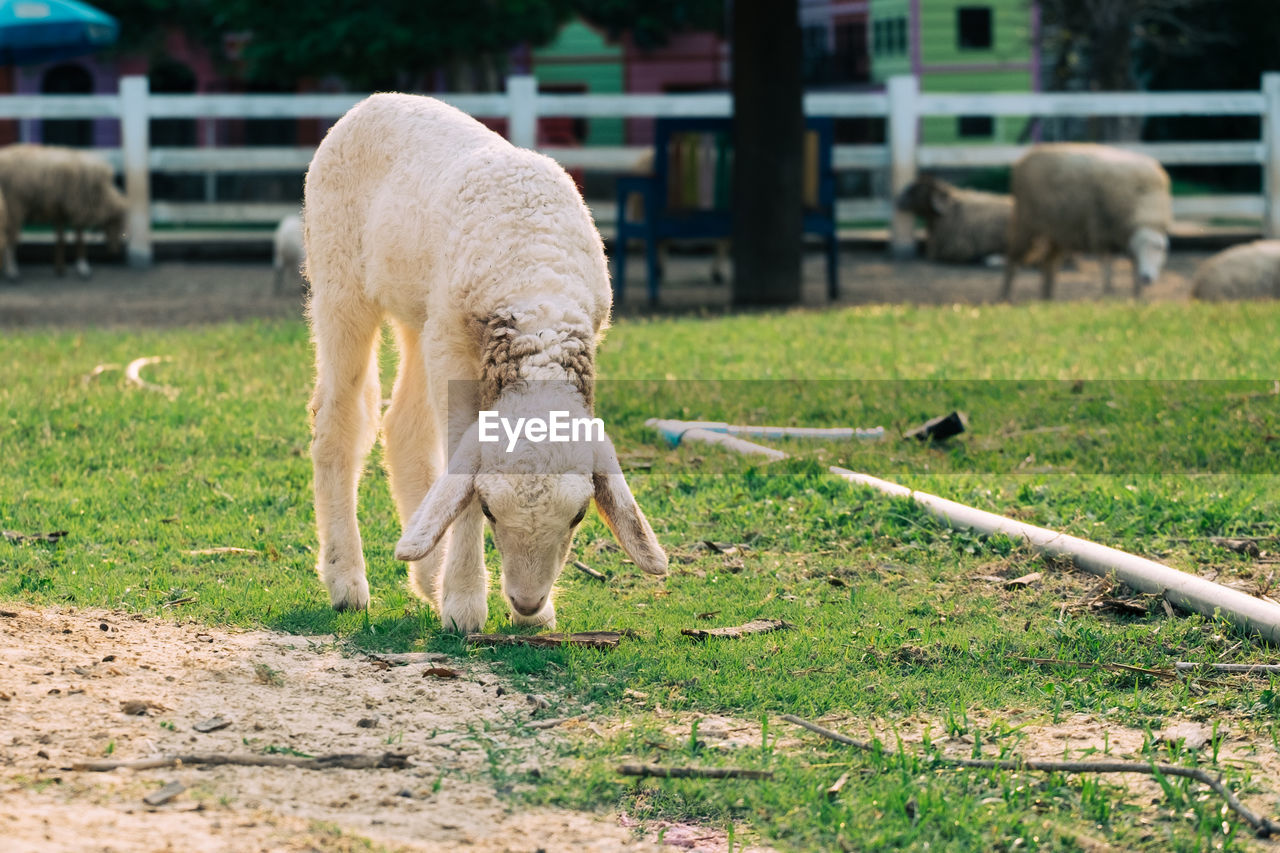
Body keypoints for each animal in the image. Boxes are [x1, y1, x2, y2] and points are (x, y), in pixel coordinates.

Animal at [0, 143, 126, 279]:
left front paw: (61, 268)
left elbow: (61, 239)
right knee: (9, 240)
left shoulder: (61, 209)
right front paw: (83, 267)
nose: (116, 251)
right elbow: (79, 238)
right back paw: (12, 270)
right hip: (13, 205)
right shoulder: (77, 205)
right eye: (117, 221)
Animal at [303, 92, 665, 630]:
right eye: (491, 510)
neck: (536, 295)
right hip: (340, 280)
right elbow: (460, 470)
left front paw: (526, 614)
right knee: (339, 422)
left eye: (579, 515)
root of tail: (373, 102)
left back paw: (426, 577)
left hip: (421, 315)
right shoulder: (454, 350)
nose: (527, 602)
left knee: (404, 427)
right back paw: (346, 581)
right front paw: (464, 603)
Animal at [998, 140, 1172, 298]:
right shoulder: (1101, 232)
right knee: (1012, 260)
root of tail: (1023, 159)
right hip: (1026, 223)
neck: (1145, 202)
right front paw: (1108, 293)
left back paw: (1048, 298)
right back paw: (1006, 295)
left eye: (1160, 248)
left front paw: (1137, 295)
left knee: (1048, 264)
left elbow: (1132, 265)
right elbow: (1107, 267)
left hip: (1058, 231)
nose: (1146, 278)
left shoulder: (1118, 235)